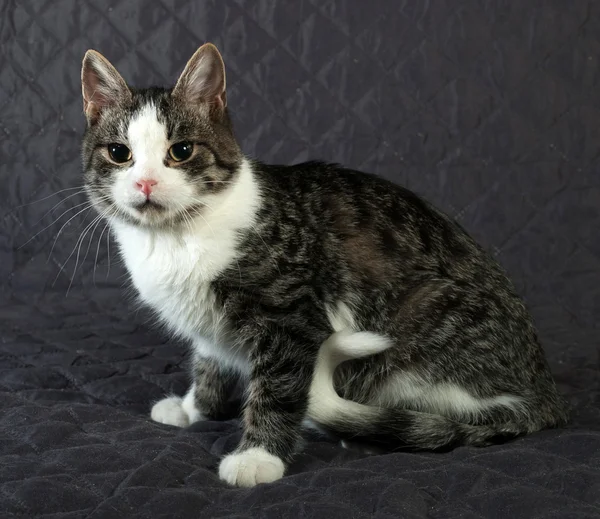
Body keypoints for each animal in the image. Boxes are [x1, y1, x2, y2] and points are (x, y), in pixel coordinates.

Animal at [78, 43, 568, 488]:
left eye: (180, 151)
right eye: (119, 153)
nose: (145, 182)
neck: (175, 241)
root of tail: (543, 395)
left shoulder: (290, 318)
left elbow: (277, 389)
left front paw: (259, 456)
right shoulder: (208, 326)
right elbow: (209, 363)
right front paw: (194, 408)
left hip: (422, 328)